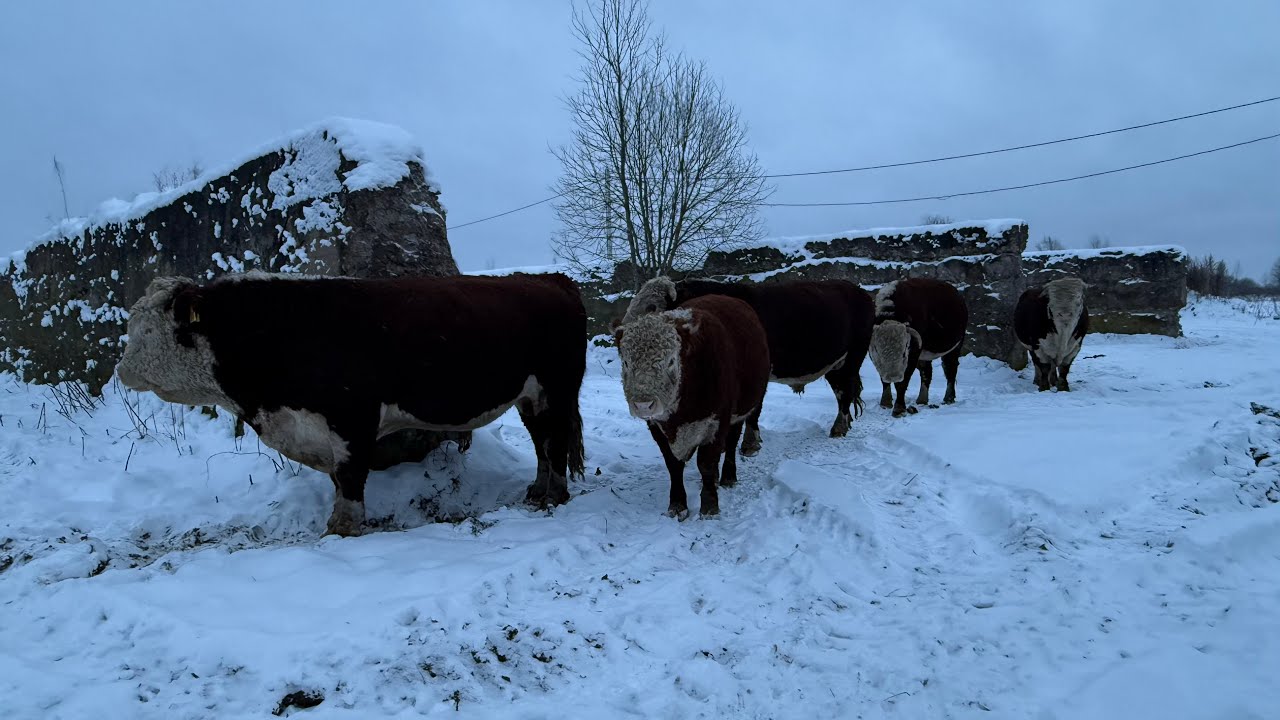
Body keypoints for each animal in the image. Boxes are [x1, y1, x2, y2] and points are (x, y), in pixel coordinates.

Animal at [115, 271, 587, 537]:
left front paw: (344, 531)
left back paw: (555, 495)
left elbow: (350, 477)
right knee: (542, 441)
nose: (122, 369)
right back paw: (537, 490)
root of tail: (549, 279)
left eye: (151, 327)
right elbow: (337, 483)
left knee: (556, 440)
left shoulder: (352, 417)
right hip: (530, 396)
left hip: (558, 388)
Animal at [614, 295, 770, 520]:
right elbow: (673, 465)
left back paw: (728, 477)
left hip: (739, 412)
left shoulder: (717, 421)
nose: (643, 404)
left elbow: (706, 463)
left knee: (731, 443)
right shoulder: (657, 427)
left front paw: (710, 506)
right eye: (626, 362)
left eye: (671, 361)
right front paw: (677, 504)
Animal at [622, 276, 874, 455]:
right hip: (836, 365)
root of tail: (859, 291)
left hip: (852, 359)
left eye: (652, 308)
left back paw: (839, 427)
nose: (622, 333)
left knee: (844, 393)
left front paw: (749, 444)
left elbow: (754, 409)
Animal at [868, 278, 969, 418]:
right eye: (877, 349)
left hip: (955, 347)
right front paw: (885, 403)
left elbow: (902, 383)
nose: (893, 376)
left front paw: (899, 409)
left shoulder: (913, 355)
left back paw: (948, 398)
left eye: (905, 350)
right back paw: (922, 400)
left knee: (950, 370)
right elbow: (884, 381)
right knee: (927, 372)